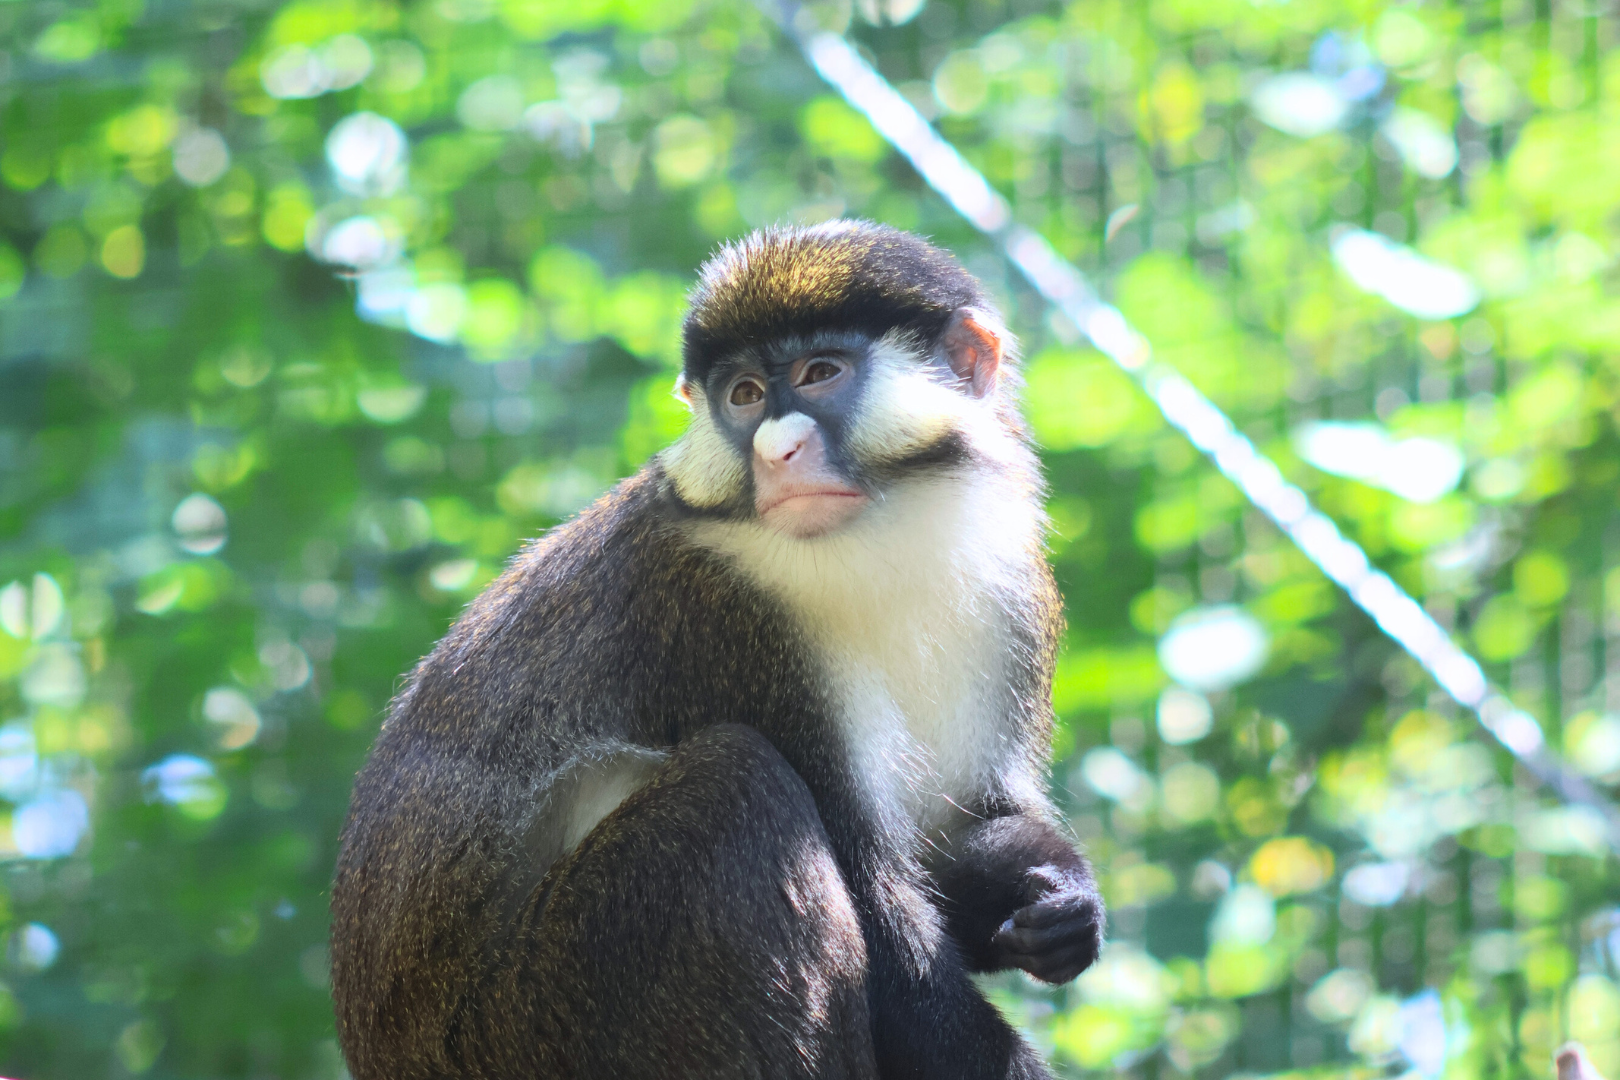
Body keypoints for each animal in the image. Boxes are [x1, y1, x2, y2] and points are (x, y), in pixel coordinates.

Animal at [333, 221, 1108, 1080]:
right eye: (744, 396)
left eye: (819, 373)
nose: (775, 453)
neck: (885, 541)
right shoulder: (726, 621)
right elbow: (884, 924)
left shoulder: (1014, 593)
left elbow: (961, 832)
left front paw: (1061, 903)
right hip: (536, 1015)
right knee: (737, 786)